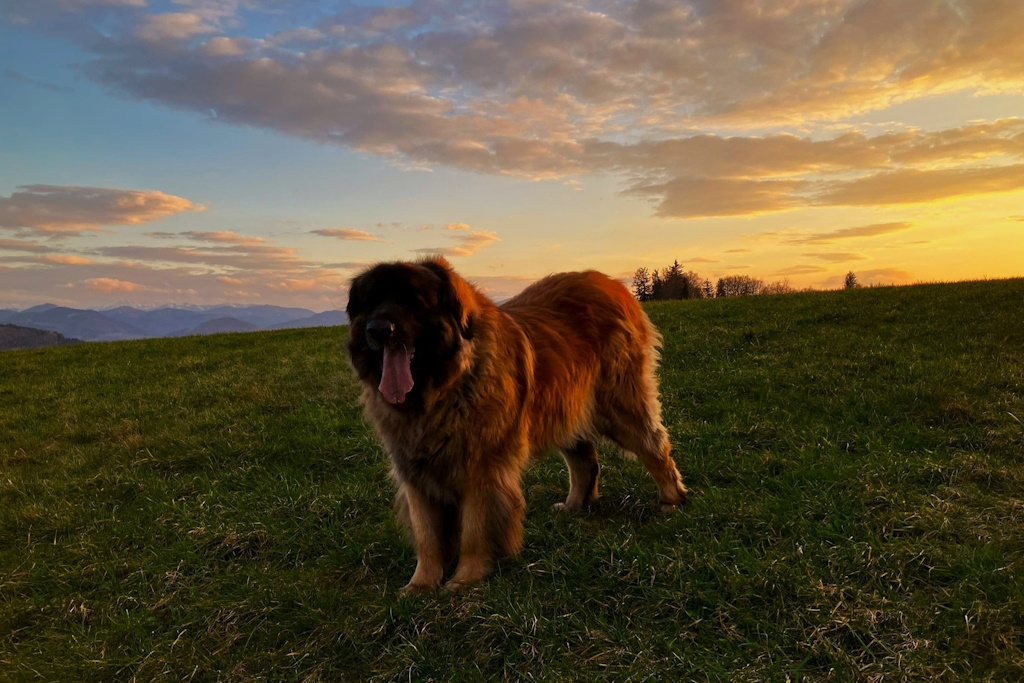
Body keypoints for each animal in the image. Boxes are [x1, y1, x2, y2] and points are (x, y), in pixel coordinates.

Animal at [344, 255, 688, 593]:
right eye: (371, 303)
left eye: (413, 301)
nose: (378, 329)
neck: (445, 389)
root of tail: (611, 283)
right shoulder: (414, 471)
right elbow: (426, 535)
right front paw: (421, 585)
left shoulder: (481, 468)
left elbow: (474, 529)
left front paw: (465, 579)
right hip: (563, 407)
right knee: (585, 461)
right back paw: (574, 505)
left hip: (618, 405)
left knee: (654, 445)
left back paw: (671, 499)